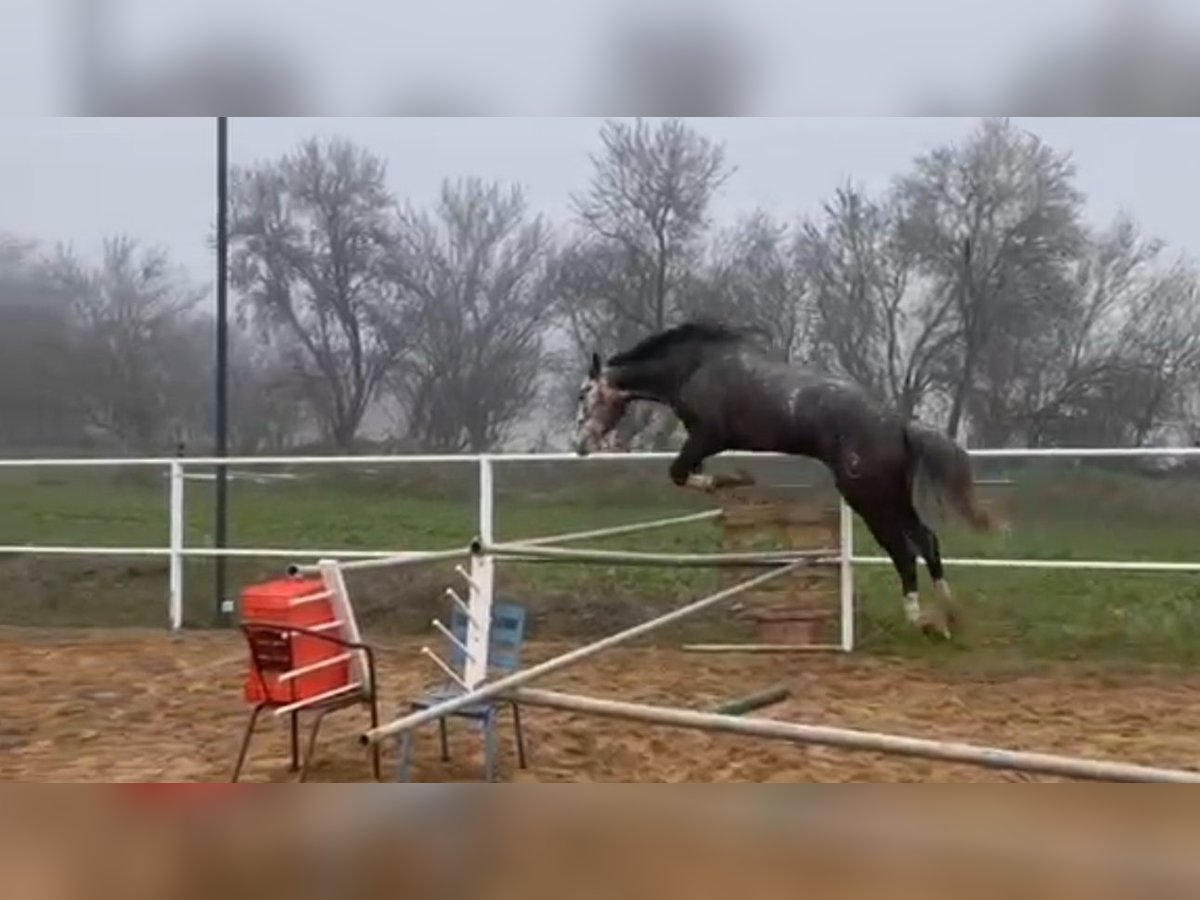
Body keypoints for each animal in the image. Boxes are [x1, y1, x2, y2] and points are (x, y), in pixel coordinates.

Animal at [573, 321, 1003, 643]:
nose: (579, 446)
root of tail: (898, 425)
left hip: (869, 496)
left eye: (584, 394)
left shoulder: (707, 436)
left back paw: (920, 621)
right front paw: (732, 480)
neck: (694, 367)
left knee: (903, 549)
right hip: (893, 494)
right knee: (926, 541)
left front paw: (730, 481)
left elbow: (680, 473)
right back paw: (948, 618)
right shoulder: (705, 442)